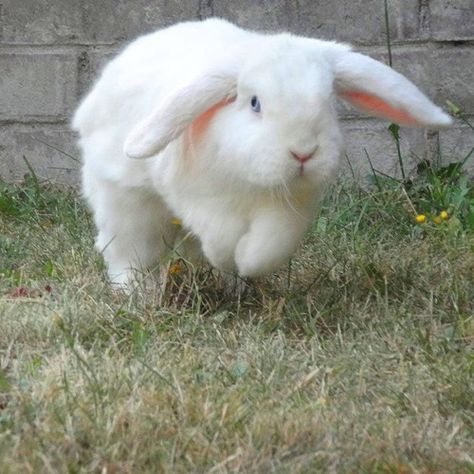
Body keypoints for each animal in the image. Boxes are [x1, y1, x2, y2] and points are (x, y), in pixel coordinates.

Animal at [72, 17, 450, 286]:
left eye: (328, 102)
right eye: (255, 103)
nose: (303, 153)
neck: (250, 181)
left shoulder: (290, 208)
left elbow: (271, 244)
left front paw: (246, 264)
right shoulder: (199, 199)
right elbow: (220, 235)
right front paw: (226, 258)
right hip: (126, 205)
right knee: (129, 255)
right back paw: (136, 294)